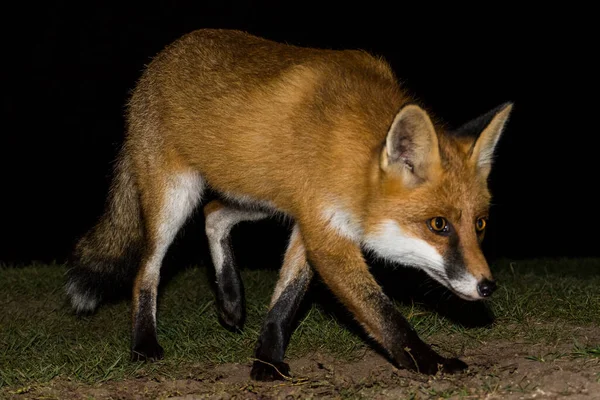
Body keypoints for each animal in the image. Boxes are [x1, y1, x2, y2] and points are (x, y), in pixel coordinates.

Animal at [68, 29, 512, 380]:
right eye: (438, 225)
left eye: (480, 224)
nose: (487, 286)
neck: (344, 145)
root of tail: (161, 57)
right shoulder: (324, 232)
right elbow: (383, 313)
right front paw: (429, 362)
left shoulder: (310, 219)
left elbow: (286, 299)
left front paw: (266, 361)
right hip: (175, 198)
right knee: (147, 270)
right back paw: (144, 344)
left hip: (263, 197)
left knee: (214, 214)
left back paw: (230, 299)